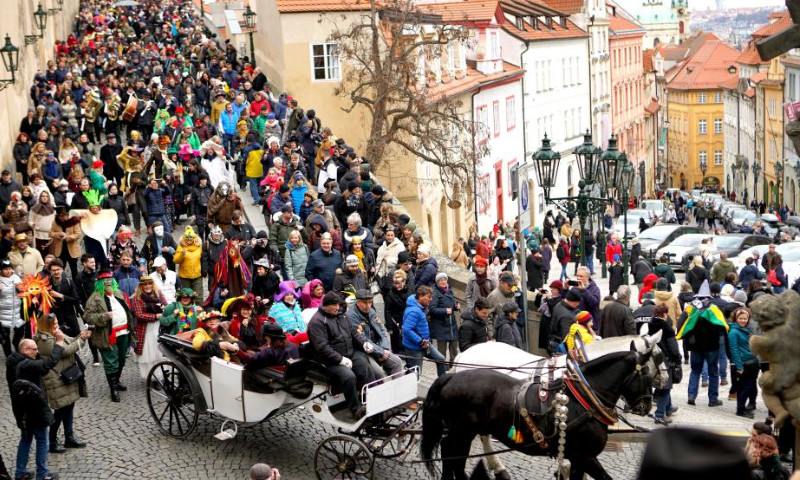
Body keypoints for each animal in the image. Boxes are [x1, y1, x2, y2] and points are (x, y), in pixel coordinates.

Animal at [454, 330, 664, 480]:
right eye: (660, 357)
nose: (647, 406)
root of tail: (462, 355)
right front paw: (562, 471)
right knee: (483, 437)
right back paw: (498, 467)